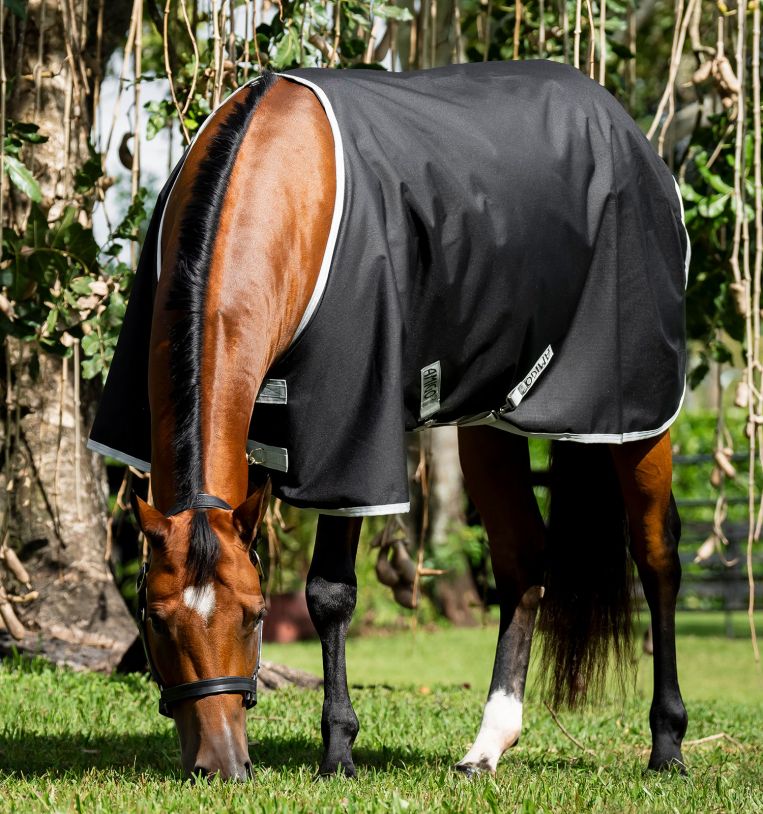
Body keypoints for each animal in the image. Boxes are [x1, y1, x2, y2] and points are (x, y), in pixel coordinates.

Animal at [91, 60, 689, 780]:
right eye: (154, 618)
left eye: (255, 616)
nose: (222, 764)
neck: (282, 183)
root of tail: (623, 127)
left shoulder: (349, 434)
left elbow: (329, 592)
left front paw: (338, 752)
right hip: (488, 420)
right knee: (522, 560)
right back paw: (487, 746)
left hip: (636, 412)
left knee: (656, 555)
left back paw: (666, 744)